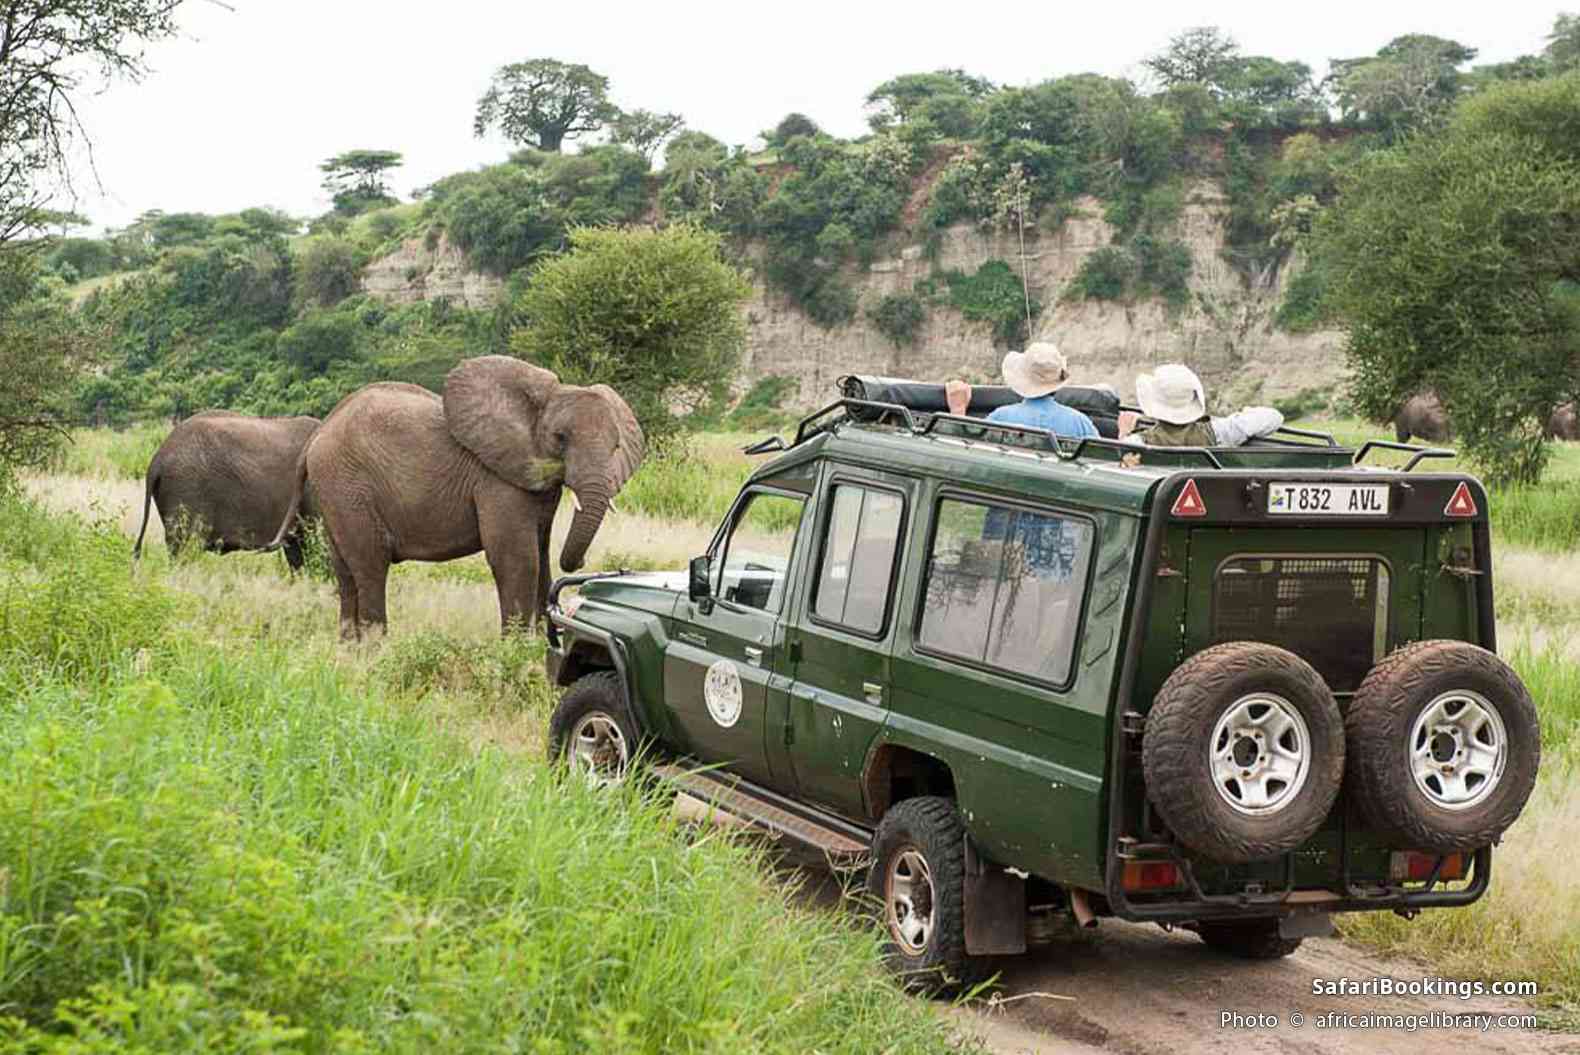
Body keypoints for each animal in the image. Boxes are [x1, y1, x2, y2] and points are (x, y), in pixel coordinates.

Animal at [269, 356, 643, 639]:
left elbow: (541, 554)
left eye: (616, 447)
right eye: (561, 438)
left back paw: (350, 651)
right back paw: (377, 650)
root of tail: (318, 434)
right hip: (348, 486)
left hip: (335, 492)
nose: (579, 566)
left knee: (344, 571)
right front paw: (516, 650)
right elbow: (518, 558)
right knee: (370, 565)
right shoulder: (495, 479)